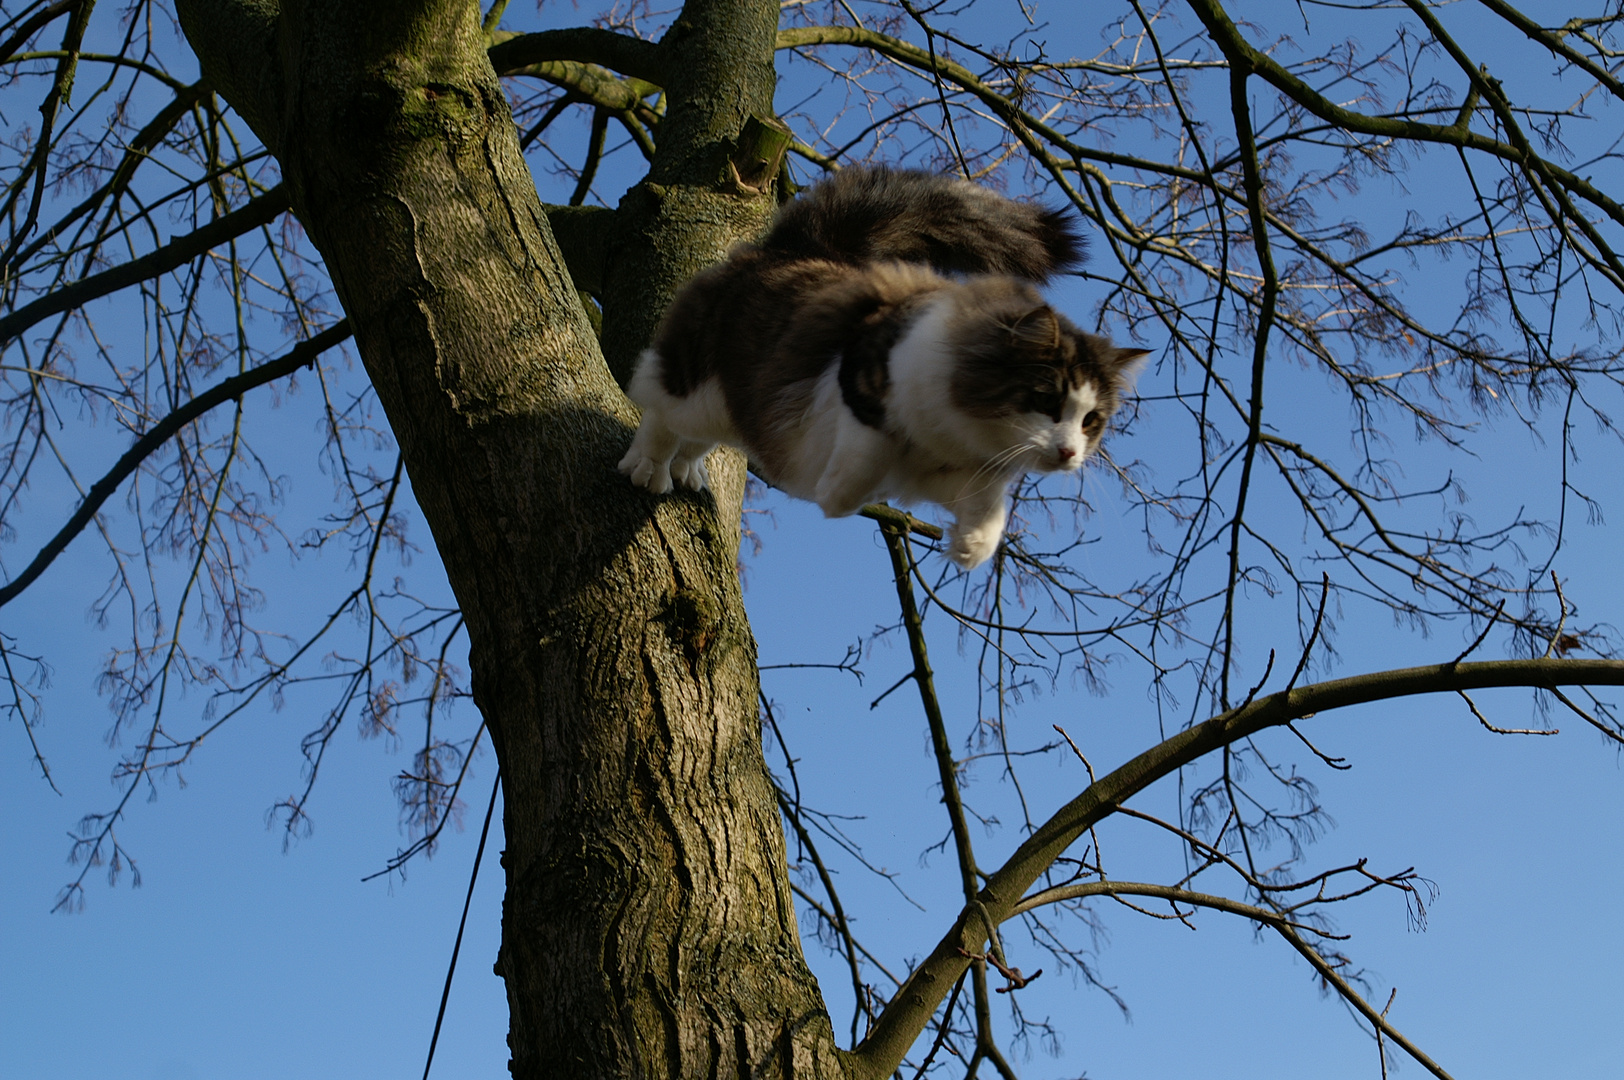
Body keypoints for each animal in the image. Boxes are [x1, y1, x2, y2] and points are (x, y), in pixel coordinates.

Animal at [613, 165, 1149, 568]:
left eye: (1091, 422)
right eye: (1046, 401)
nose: (1069, 453)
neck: (964, 437)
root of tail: (794, 248)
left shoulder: (952, 475)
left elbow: (991, 512)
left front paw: (970, 547)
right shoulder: (863, 372)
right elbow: (866, 455)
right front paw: (835, 493)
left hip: (730, 407)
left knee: (697, 437)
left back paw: (686, 470)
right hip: (697, 385)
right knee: (659, 410)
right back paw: (649, 469)